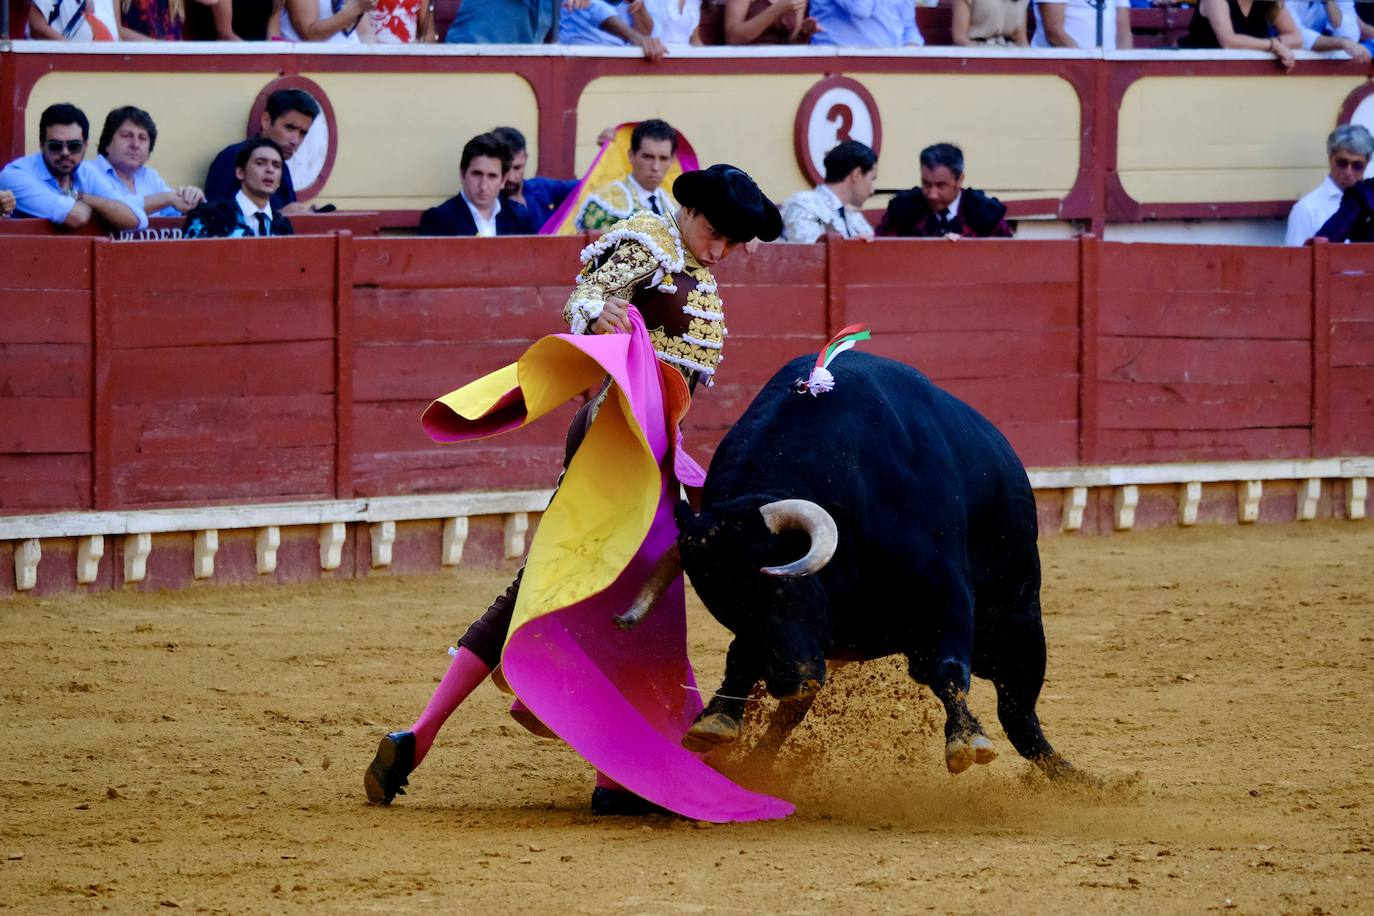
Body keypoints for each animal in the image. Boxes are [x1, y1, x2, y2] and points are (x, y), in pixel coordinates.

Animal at [618, 351, 1077, 780]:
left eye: (781, 588)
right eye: (725, 609)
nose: (790, 681)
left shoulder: (944, 590)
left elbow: (948, 666)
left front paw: (966, 741)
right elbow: (743, 655)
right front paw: (717, 719)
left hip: (1017, 623)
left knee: (1018, 713)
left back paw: (1073, 780)